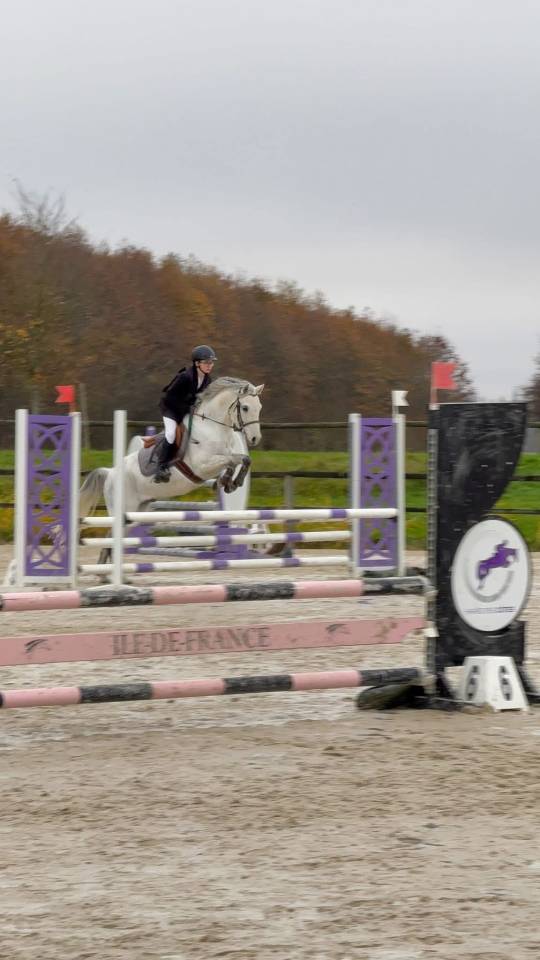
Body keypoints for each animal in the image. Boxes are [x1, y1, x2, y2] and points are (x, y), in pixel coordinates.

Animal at [79, 378, 264, 542]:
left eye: (259, 407)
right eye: (245, 407)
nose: (255, 439)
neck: (211, 427)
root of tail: (110, 472)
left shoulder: (222, 458)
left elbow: (242, 459)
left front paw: (229, 482)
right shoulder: (204, 465)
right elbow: (234, 460)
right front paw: (231, 482)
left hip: (138, 512)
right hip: (125, 509)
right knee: (110, 539)